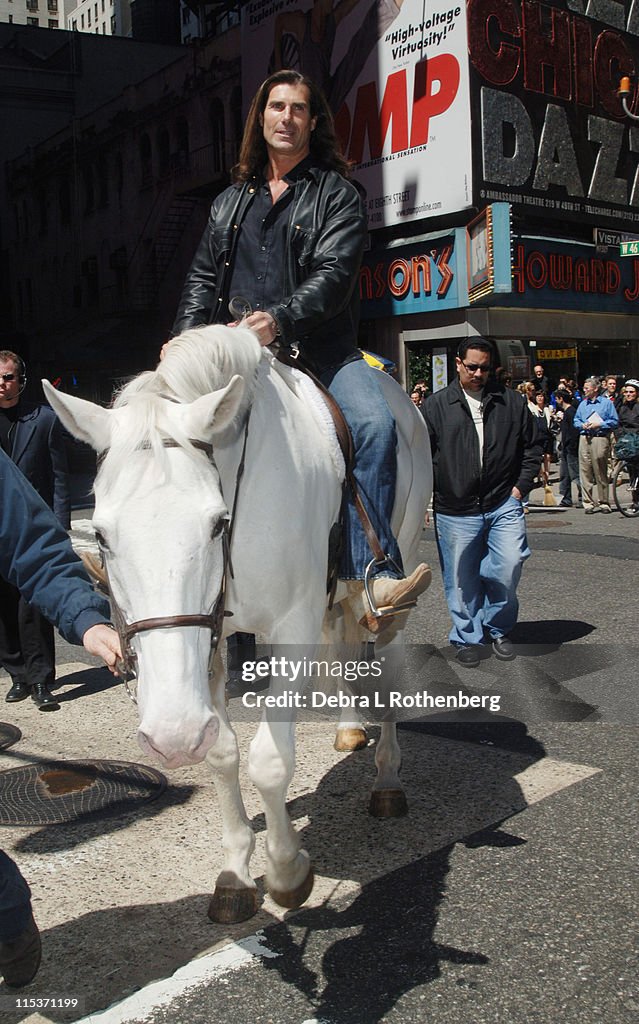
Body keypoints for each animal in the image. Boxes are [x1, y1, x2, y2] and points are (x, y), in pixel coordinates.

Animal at [43, 329, 434, 929]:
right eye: (102, 535)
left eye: (216, 523)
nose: (170, 736)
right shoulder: (209, 636)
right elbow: (223, 753)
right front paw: (235, 874)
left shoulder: (291, 624)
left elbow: (269, 761)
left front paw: (287, 871)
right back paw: (349, 728)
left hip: (398, 564)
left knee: (384, 665)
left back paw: (388, 781)